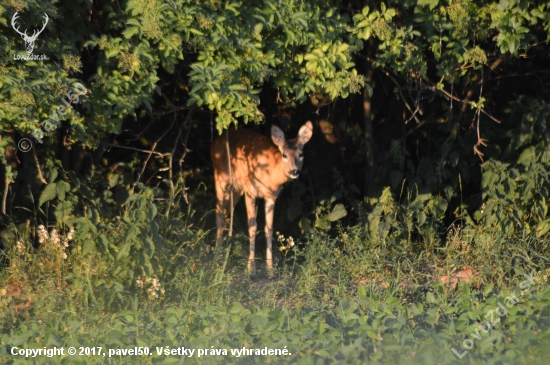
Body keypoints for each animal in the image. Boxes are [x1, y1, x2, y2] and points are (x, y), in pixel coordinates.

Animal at [212, 121, 314, 274]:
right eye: (284, 155)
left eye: (301, 154)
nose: (294, 171)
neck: (271, 174)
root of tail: (215, 142)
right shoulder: (250, 190)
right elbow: (252, 226)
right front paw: (251, 269)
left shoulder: (271, 196)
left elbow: (269, 228)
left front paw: (270, 269)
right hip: (220, 177)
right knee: (218, 212)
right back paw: (218, 255)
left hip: (237, 189)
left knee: (225, 212)